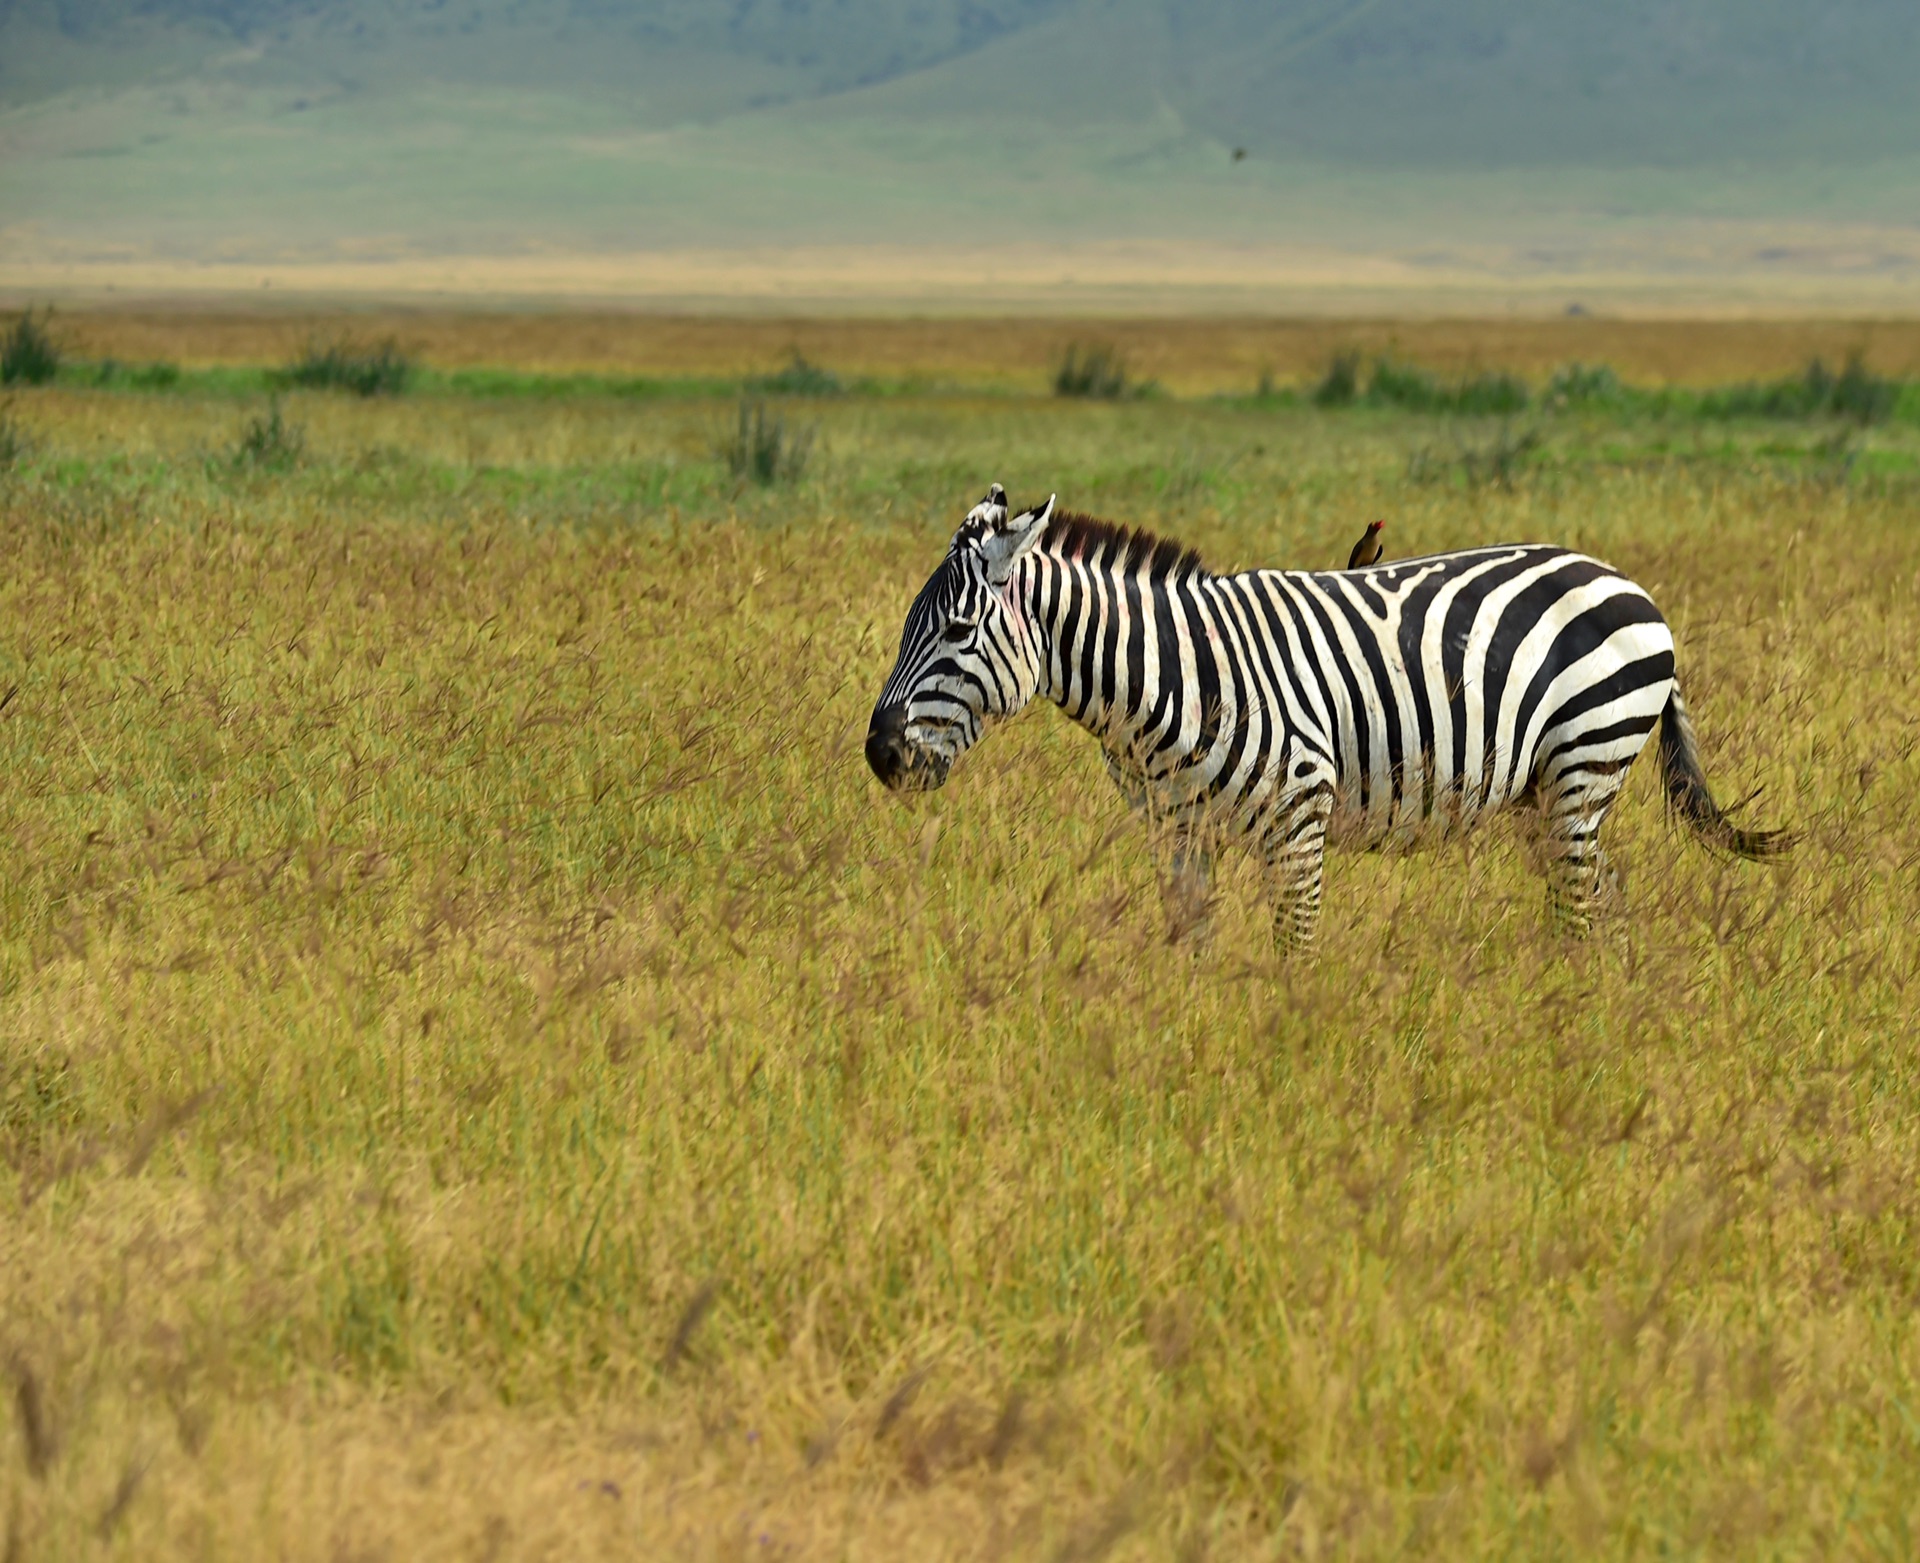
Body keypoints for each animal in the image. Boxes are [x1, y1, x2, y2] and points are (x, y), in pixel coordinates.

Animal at [864, 480, 1789, 940]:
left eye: (955, 630)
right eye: (908, 624)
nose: (879, 753)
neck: (1173, 676)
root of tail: (1630, 584)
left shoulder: (1297, 820)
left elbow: (1293, 948)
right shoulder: (1176, 829)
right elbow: (1187, 941)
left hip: (1583, 767)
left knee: (1583, 905)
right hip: (1546, 792)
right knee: (1598, 901)